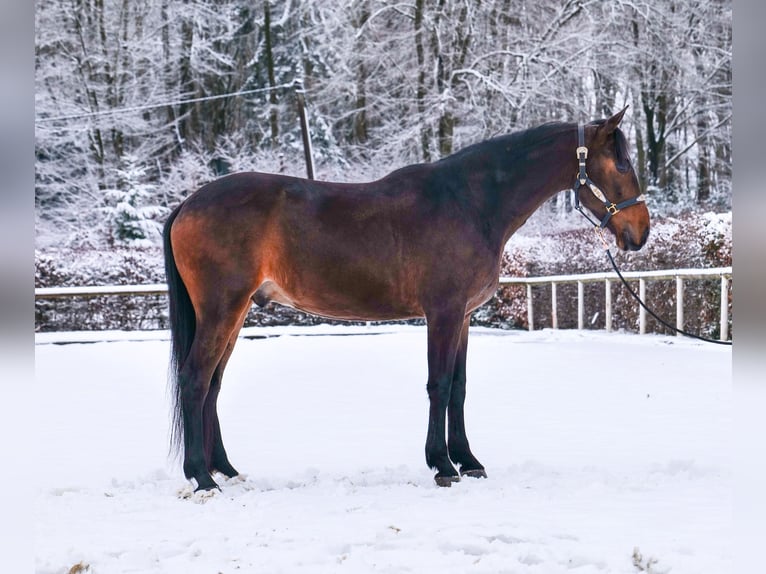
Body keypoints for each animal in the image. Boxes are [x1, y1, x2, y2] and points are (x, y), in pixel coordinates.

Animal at [165, 107, 652, 490]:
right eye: (621, 166)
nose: (641, 233)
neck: (471, 203)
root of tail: (188, 203)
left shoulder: (464, 317)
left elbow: (459, 387)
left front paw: (468, 461)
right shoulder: (443, 313)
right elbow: (439, 384)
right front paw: (442, 465)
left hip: (236, 312)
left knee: (213, 384)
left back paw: (226, 470)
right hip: (222, 309)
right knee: (194, 379)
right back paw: (202, 477)